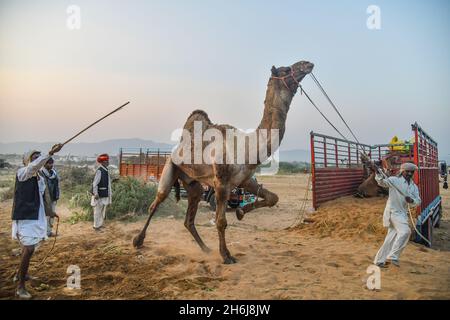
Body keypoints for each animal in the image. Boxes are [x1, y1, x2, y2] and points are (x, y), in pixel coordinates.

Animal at [133, 59, 312, 262]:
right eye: (286, 69)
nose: (307, 64)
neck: (246, 146)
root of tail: (176, 149)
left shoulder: (244, 179)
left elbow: (272, 197)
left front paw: (241, 212)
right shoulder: (221, 182)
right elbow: (220, 221)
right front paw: (226, 255)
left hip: (193, 183)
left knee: (189, 218)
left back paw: (205, 248)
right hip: (170, 167)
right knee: (156, 202)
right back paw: (138, 240)